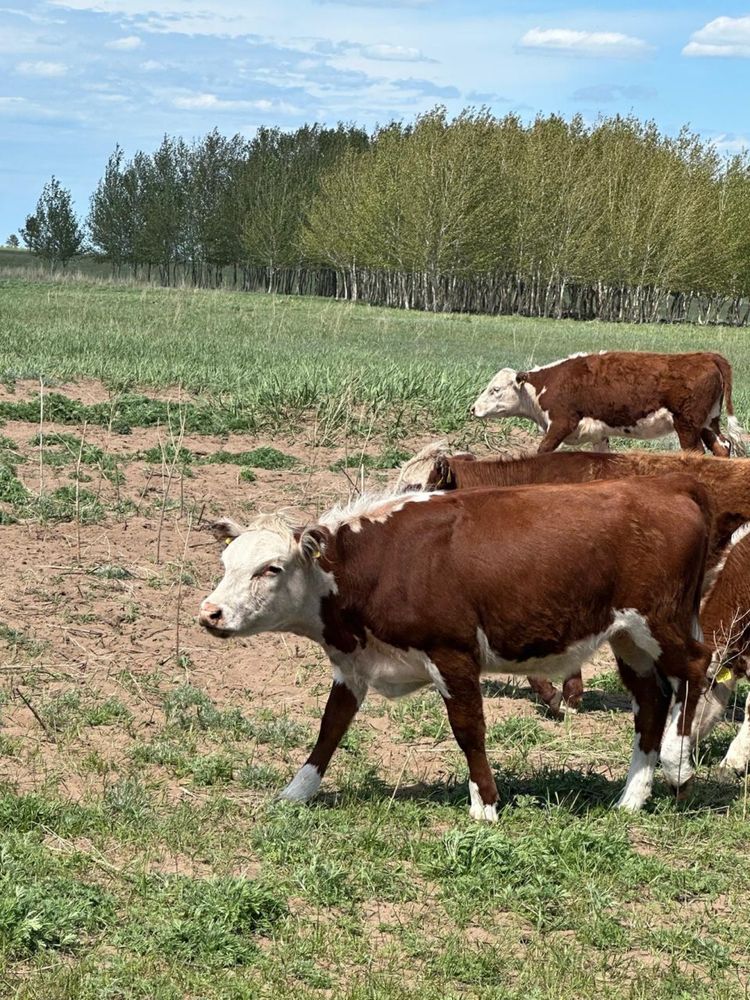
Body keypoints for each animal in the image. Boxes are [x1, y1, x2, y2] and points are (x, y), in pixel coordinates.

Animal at [472, 352, 744, 458]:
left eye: (495, 389)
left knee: (697, 453)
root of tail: (705, 356)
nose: (472, 408)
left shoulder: (561, 423)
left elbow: (543, 450)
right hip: (708, 423)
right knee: (722, 447)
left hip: (687, 424)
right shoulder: (598, 433)